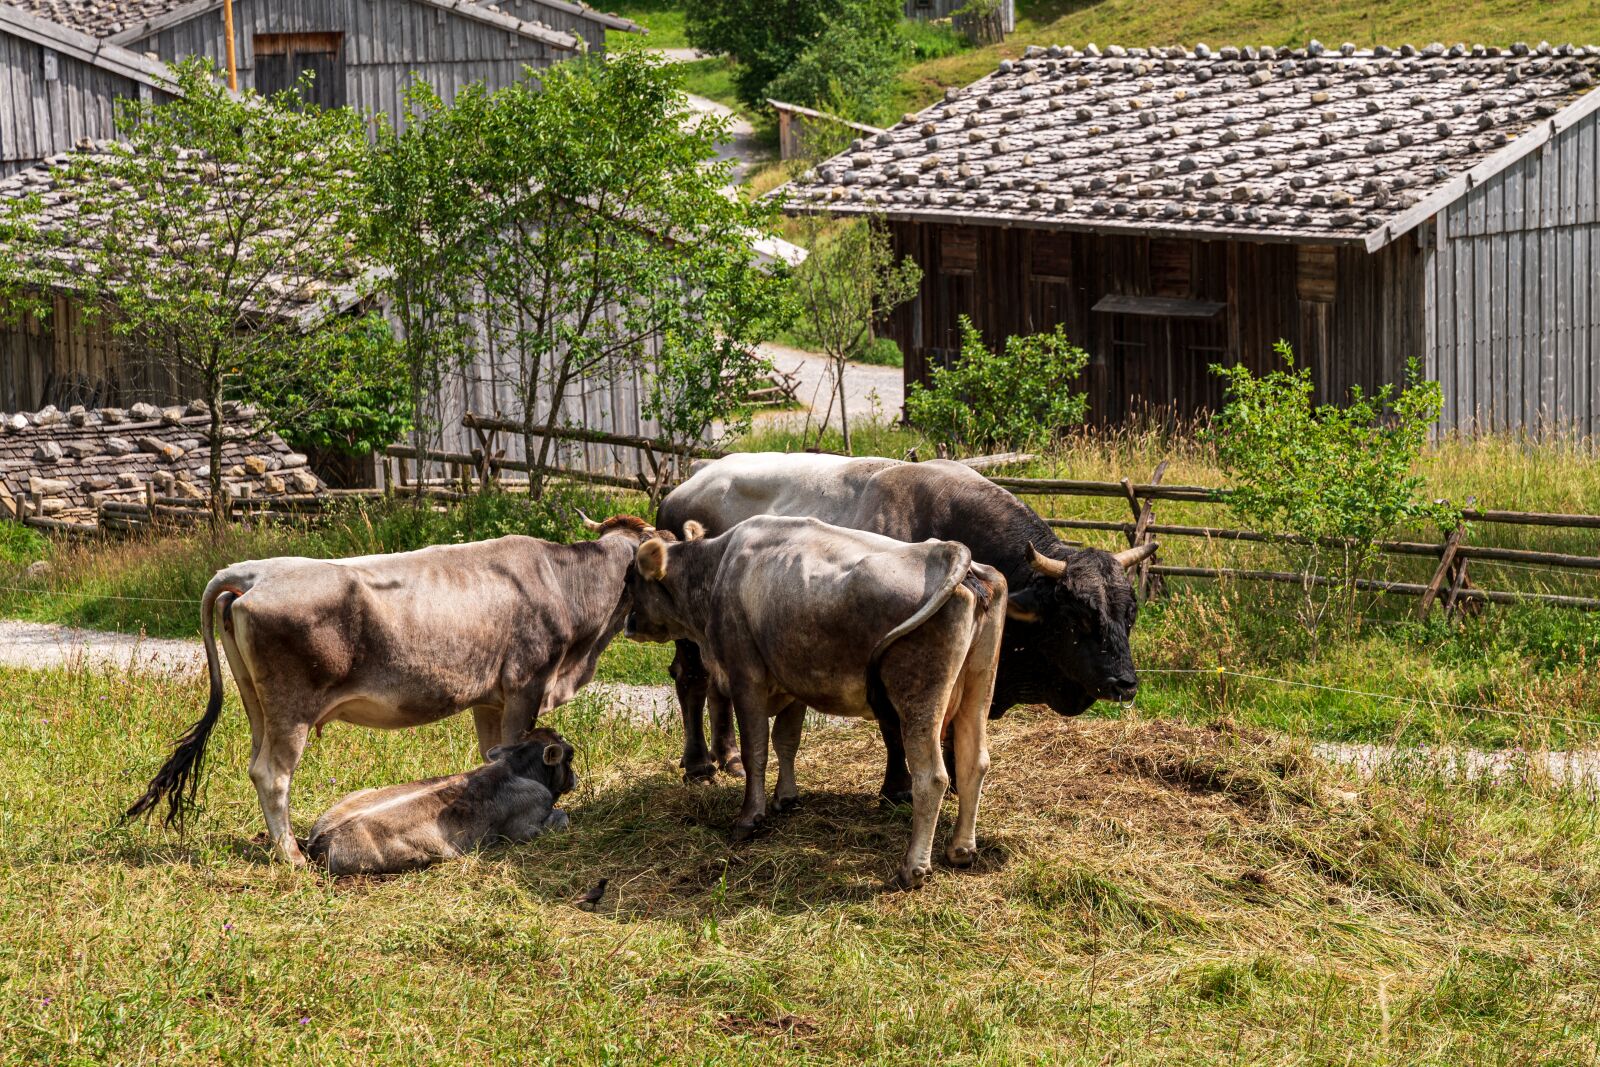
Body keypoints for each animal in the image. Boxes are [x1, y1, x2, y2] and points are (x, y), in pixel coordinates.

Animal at [302, 729, 579, 883]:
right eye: (571, 755)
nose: (574, 778)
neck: (517, 767)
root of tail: (320, 838)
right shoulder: (525, 829)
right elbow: (562, 817)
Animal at [620, 518, 998, 895]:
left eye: (630, 578)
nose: (628, 624)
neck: (717, 570)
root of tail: (946, 550)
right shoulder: (791, 681)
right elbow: (785, 742)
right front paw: (786, 797)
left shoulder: (746, 678)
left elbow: (755, 750)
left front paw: (749, 817)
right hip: (978, 688)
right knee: (974, 762)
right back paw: (961, 850)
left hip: (918, 699)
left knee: (932, 777)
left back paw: (912, 869)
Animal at [656, 454, 1158, 796]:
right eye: (1080, 615)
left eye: (1129, 615)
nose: (1125, 683)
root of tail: (686, 484)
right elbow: (895, 731)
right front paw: (897, 788)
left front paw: (953, 784)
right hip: (687, 634)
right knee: (692, 679)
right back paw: (699, 763)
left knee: (718, 686)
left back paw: (730, 757)